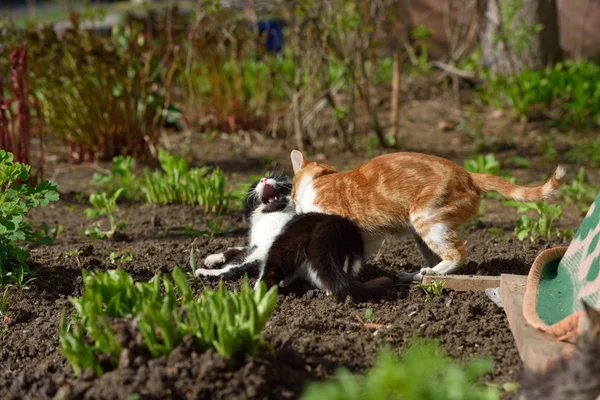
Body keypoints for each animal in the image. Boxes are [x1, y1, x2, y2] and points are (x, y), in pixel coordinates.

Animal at [196, 173, 394, 300]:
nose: (264, 178)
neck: (270, 214)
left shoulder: (262, 248)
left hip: (284, 245)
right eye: (255, 184)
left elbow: (235, 265)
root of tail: (331, 228)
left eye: (277, 177)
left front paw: (207, 272)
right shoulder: (255, 244)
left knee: (269, 274)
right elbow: (236, 249)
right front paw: (213, 258)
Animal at [290, 150, 568, 282]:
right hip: (422, 233)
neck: (318, 183)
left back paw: (432, 273)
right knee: (438, 258)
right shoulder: (369, 237)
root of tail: (469, 174)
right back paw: (417, 274)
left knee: (457, 255)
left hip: (426, 219)